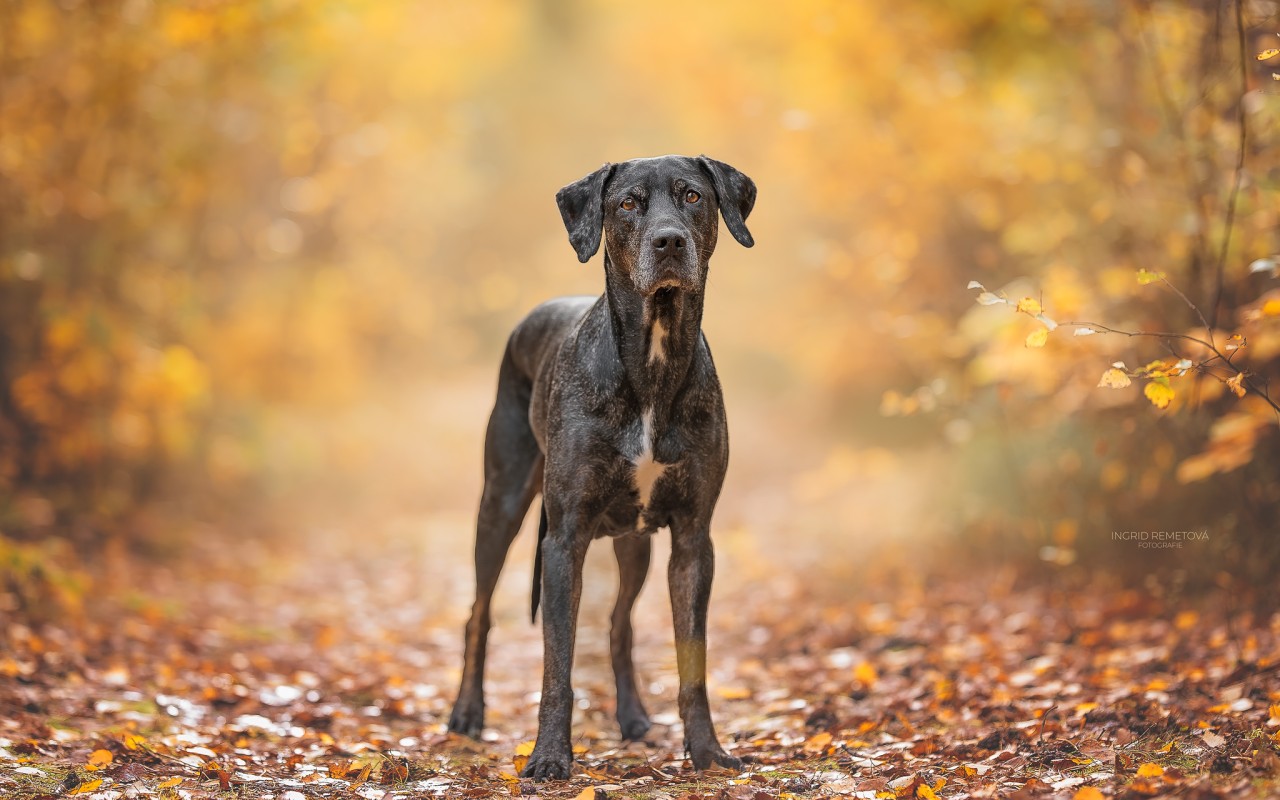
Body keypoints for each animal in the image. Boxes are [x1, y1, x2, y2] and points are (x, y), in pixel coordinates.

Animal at [445, 152, 752, 778]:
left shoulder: (693, 540)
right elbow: (556, 666)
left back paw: (632, 718)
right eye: (628, 203)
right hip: (500, 505)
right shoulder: (564, 540)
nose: (668, 241)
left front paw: (707, 751)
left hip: (635, 543)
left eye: (693, 196)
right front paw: (549, 757)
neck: (654, 356)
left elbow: (692, 661)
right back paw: (467, 713)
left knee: (618, 624)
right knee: (478, 613)